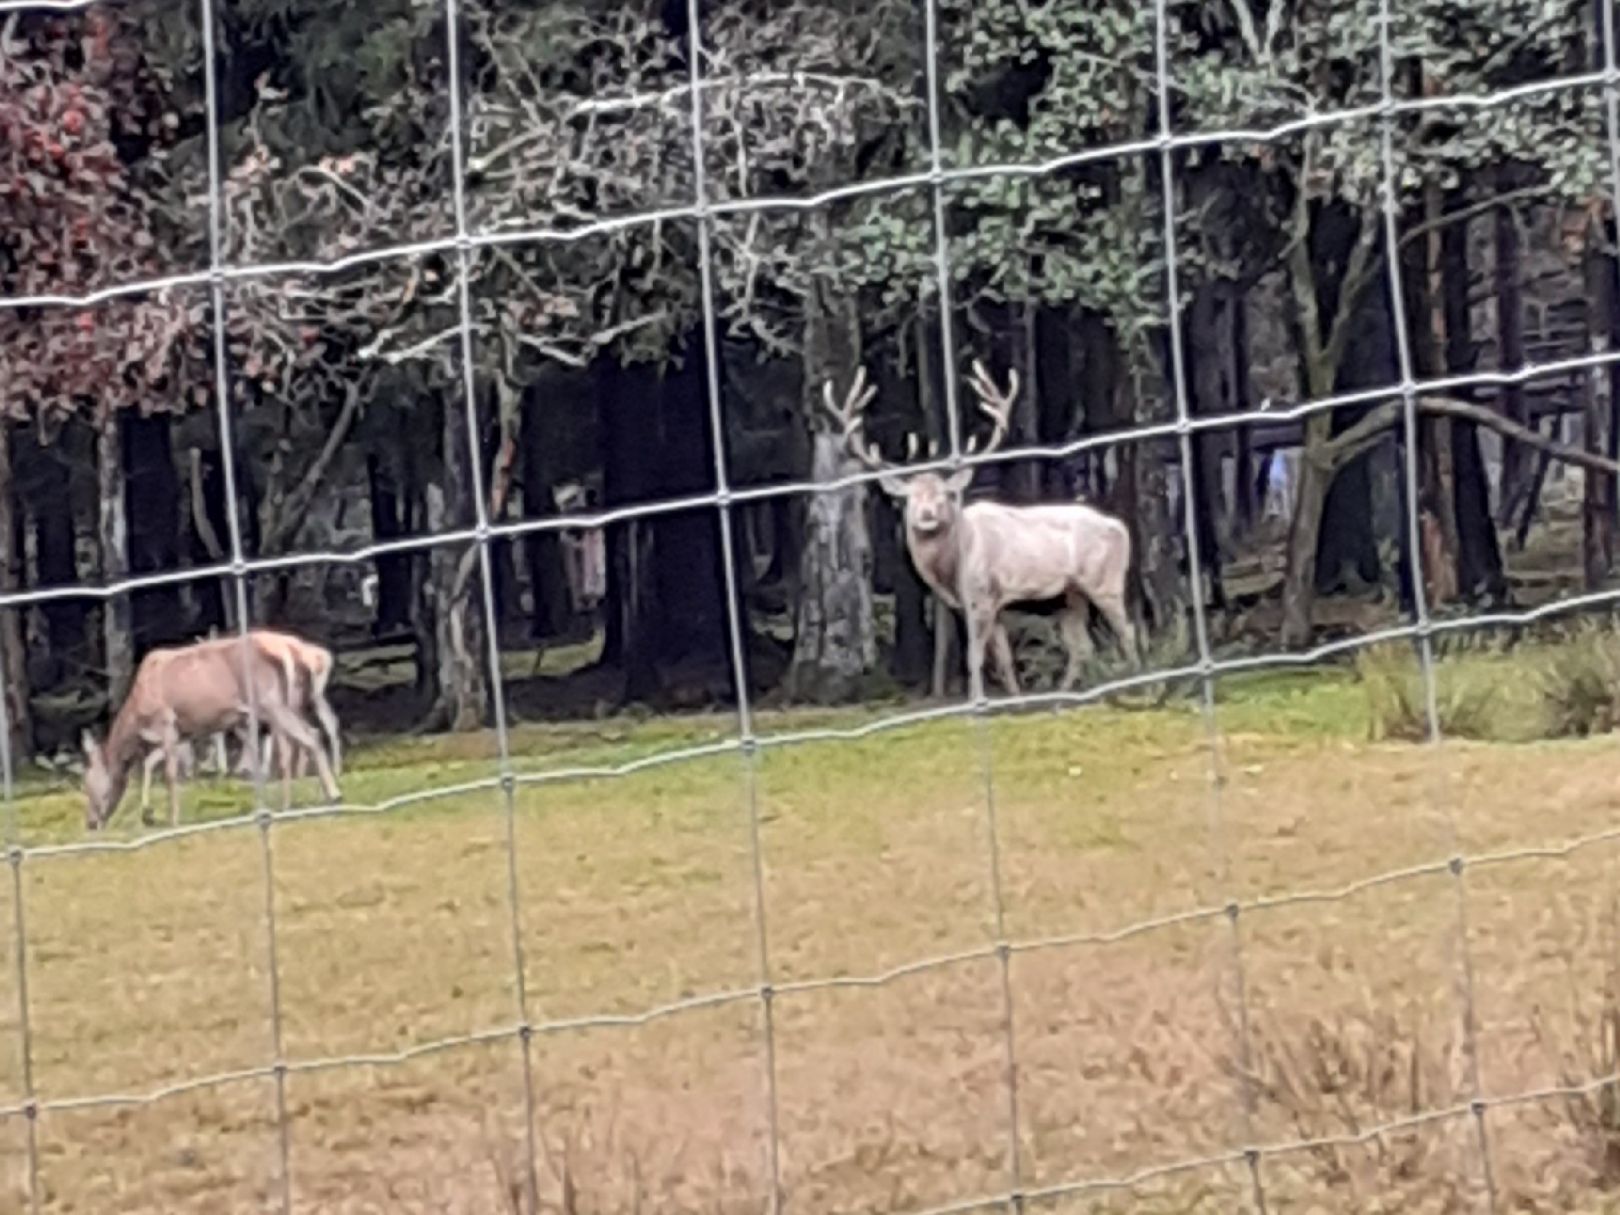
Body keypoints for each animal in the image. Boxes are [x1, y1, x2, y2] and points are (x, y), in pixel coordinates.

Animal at [83, 631, 340, 835]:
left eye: (90, 784)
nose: (91, 823)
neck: (136, 717)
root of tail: (290, 650)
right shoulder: (182, 733)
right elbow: (149, 763)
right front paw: (148, 814)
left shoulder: (166, 721)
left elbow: (169, 773)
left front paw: (173, 821)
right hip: (286, 703)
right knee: (308, 735)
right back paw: (294, 802)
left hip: (270, 702)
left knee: (308, 738)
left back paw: (332, 795)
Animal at [822, 361, 1140, 699]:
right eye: (909, 497)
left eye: (946, 494)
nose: (927, 514)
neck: (950, 568)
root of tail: (1122, 528)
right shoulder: (980, 605)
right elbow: (1002, 656)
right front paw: (1014, 698)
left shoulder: (982, 595)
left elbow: (973, 657)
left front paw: (977, 700)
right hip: (1072, 592)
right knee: (1082, 646)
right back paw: (1066, 694)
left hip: (1105, 580)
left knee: (1126, 631)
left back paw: (1136, 679)